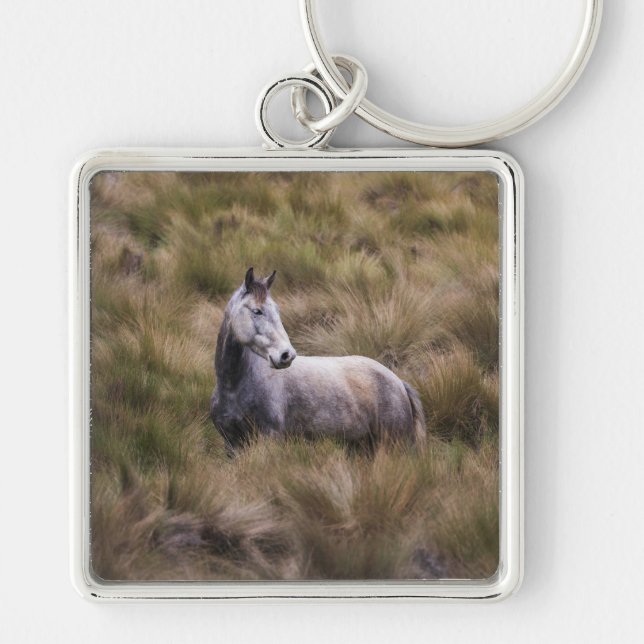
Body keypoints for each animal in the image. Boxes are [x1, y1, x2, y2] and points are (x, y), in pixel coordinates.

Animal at [210, 267, 426, 451]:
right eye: (257, 311)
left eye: (277, 310)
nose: (287, 355)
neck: (234, 387)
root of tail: (398, 382)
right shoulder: (232, 444)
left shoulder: (269, 439)